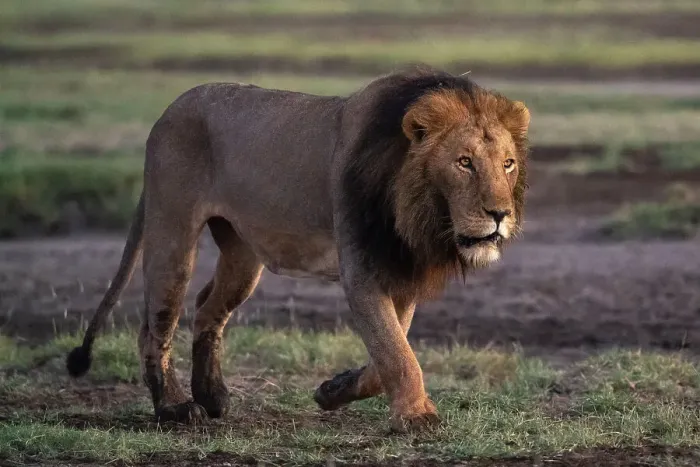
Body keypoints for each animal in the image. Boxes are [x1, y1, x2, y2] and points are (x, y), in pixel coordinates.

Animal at [66, 66, 530, 433]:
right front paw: (417, 418)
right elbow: (396, 352)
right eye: (464, 162)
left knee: (208, 307)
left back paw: (213, 396)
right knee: (156, 322)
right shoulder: (361, 270)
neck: (415, 212)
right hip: (172, 229)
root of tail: (167, 111)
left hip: (242, 254)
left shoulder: (400, 269)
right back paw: (175, 407)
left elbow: (389, 354)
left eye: (507, 164)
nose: (500, 214)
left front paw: (333, 391)